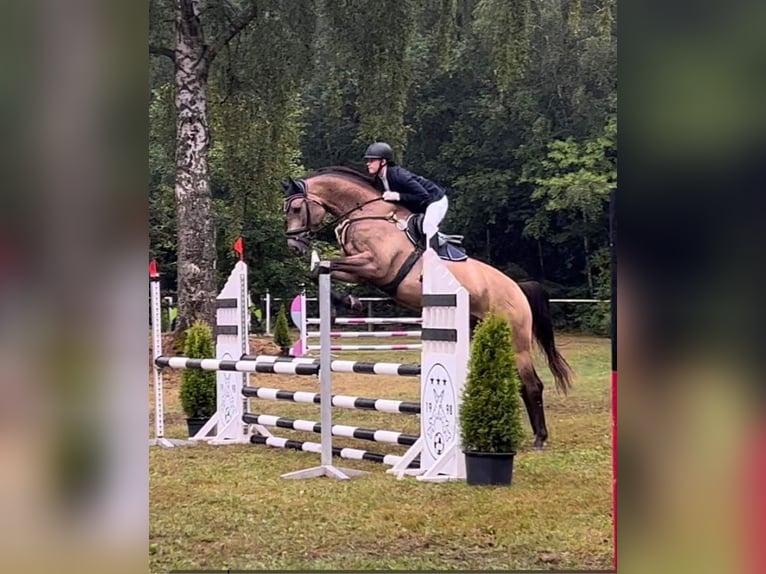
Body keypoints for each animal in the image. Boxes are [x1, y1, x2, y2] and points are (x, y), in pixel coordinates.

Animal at [282, 166, 573, 449]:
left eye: (296, 209)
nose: (293, 247)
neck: (365, 214)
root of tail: (518, 289)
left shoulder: (375, 265)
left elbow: (324, 265)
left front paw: (348, 302)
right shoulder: (362, 269)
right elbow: (322, 269)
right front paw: (345, 303)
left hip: (517, 341)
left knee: (532, 385)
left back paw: (540, 438)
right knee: (522, 384)